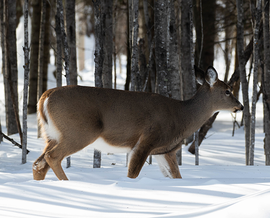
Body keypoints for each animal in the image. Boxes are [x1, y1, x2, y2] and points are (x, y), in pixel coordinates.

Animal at [32, 66, 244, 181]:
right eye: (227, 91)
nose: (240, 106)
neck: (182, 117)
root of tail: (45, 96)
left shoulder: (164, 151)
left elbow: (175, 176)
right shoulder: (147, 139)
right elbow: (132, 173)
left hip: (52, 135)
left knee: (38, 163)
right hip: (79, 132)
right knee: (52, 157)